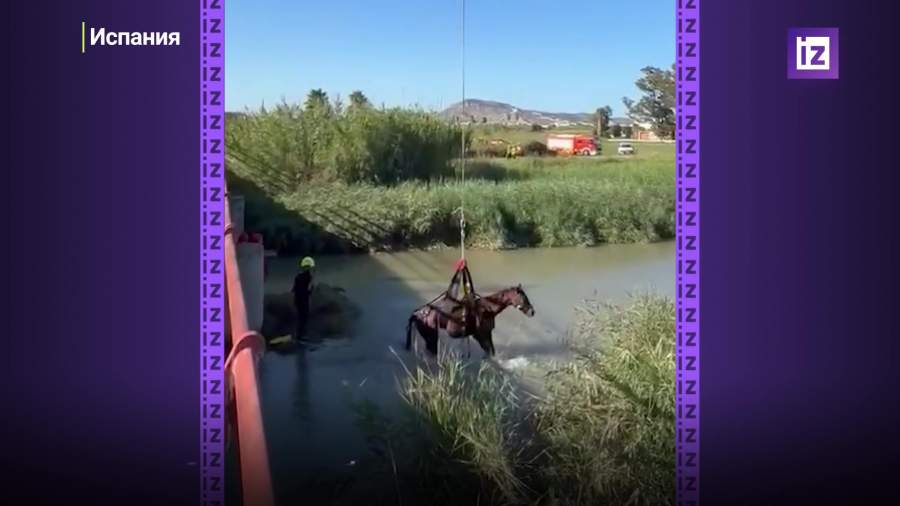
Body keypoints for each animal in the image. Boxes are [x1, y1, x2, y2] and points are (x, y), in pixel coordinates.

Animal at [405, 284, 535, 357]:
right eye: (523, 297)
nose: (532, 311)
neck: (487, 308)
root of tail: (417, 313)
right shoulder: (481, 335)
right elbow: (489, 351)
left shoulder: (487, 334)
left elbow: (491, 352)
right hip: (431, 337)